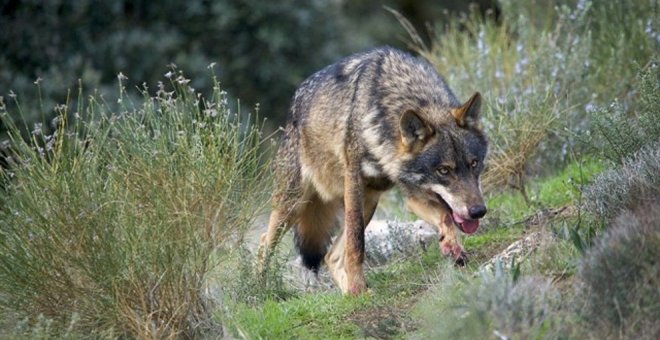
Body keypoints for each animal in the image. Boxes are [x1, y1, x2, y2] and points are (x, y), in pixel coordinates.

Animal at [258, 47, 490, 294]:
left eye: (474, 164)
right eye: (444, 171)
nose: (478, 211)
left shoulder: (413, 194)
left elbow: (445, 217)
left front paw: (453, 247)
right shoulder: (354, 182)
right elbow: (356, 244)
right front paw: (357, 285)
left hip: (369, 202)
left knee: (331, 256)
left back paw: (351, 294)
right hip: (294, 205)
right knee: (264, 243)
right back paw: (259, 289)